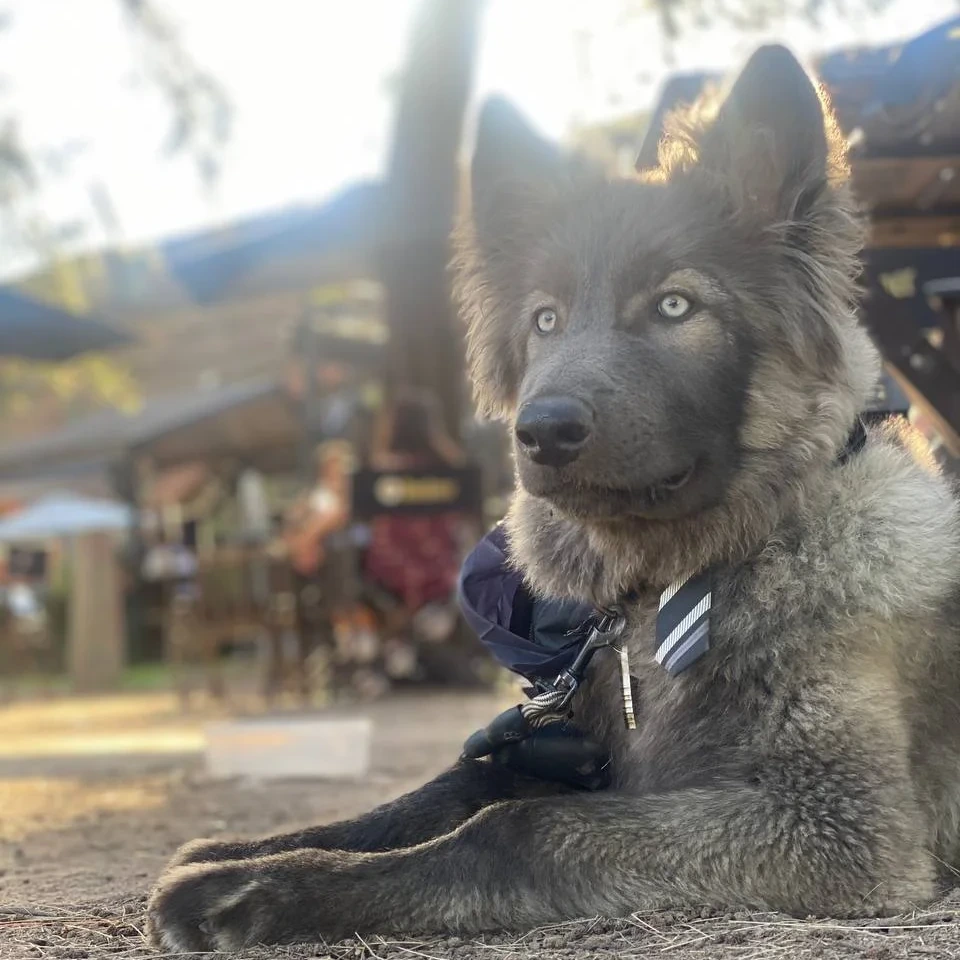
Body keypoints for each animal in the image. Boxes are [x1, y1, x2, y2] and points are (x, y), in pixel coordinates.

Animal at [147, 45, 960, 951]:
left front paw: (256, 893)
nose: (539, 431)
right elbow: (442, 793)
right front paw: (255, 850)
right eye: (544, 320)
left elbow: (515, 826)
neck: (675, 587)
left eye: (675, 305)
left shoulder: (841, 828)